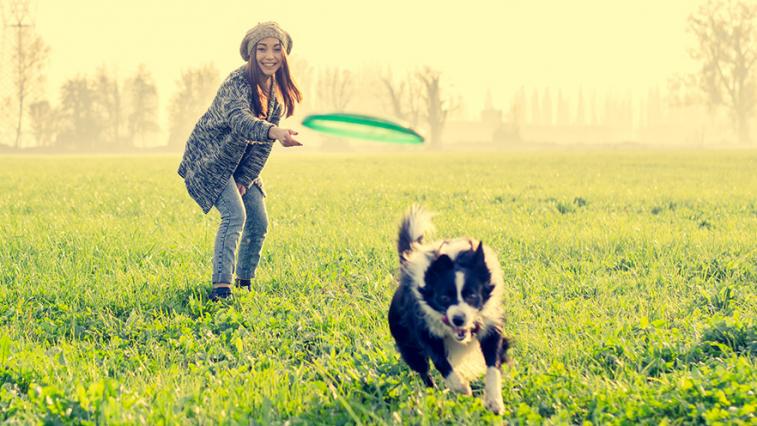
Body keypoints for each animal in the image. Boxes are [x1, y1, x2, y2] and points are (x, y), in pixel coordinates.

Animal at [390, 205, 508, 414]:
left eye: (472, 296)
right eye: (444, 298)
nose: (458, 319)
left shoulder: (490, 325)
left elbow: (493, 363)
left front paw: (494, 401)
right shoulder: (424, 330)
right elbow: (441, 362)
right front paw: (460, 386)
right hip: (407, 344)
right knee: (424, 371)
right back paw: (434, 395)